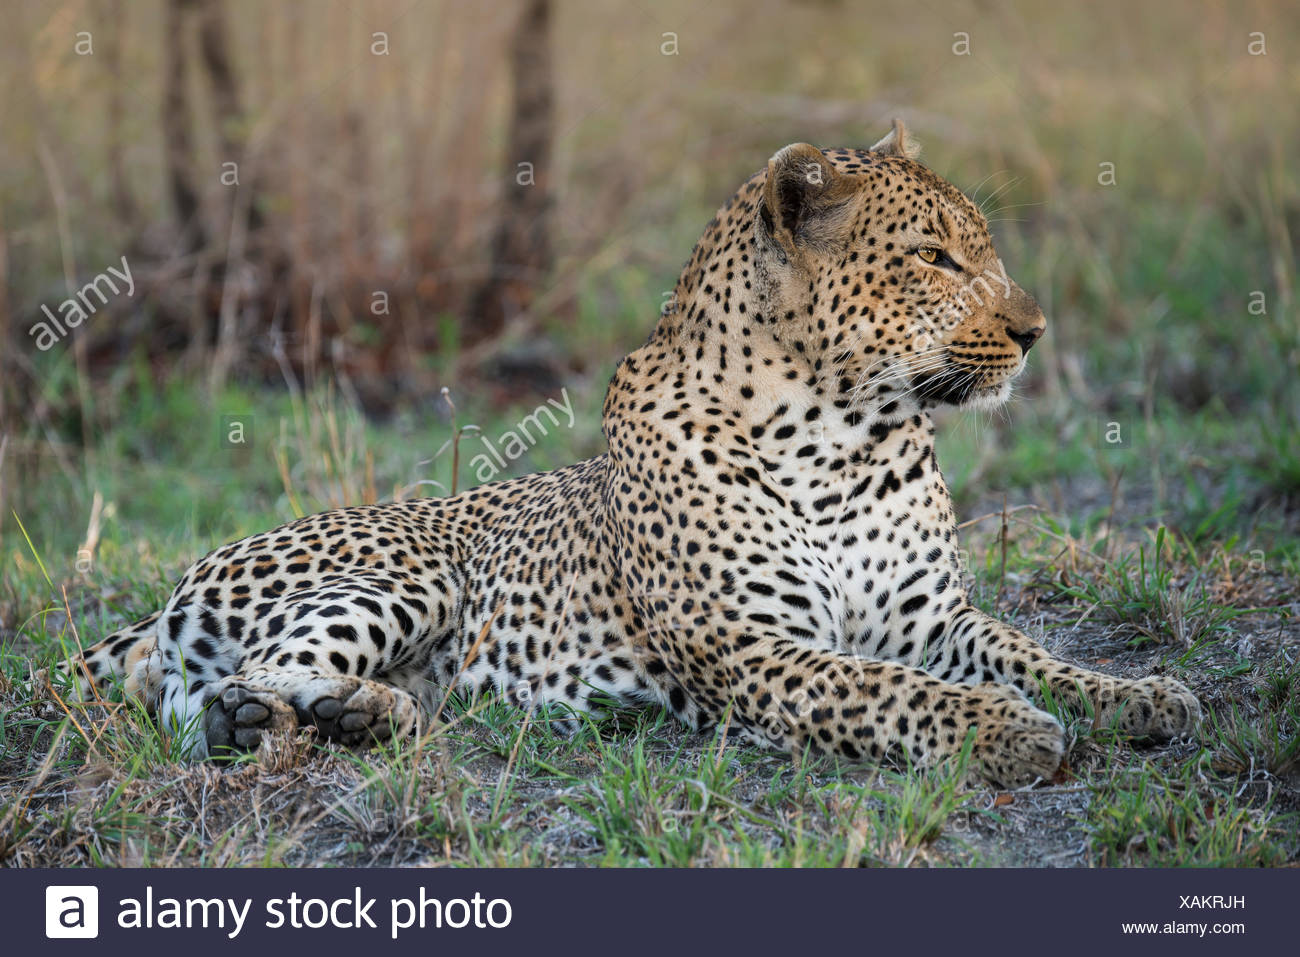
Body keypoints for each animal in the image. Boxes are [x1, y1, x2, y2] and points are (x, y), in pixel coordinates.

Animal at [60, 121, 1200, 787]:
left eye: (982, 248)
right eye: (932, 257)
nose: (1034, 331)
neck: (845, 436)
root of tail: (180, 580)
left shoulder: (933, 622)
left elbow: (1034, 653)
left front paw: (1143, 697)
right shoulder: (752, 649)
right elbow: (894, 694)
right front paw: (1009, 733)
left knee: (235, 697)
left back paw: (353, 716)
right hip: (410, 576)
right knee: (216, 688)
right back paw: (304, 717)